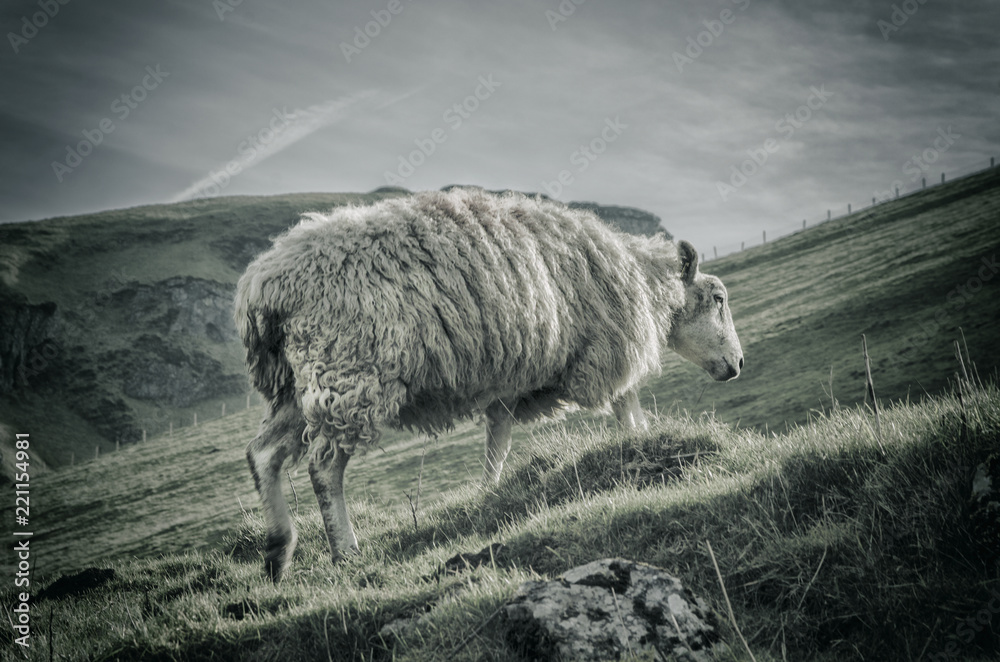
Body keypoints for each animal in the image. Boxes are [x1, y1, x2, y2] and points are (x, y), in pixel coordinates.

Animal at [234, 188, 743, 582]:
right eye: (718, 299)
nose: (738, 364)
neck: (645, 281)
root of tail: (262, 286)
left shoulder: (512, 380)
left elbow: (498, 440)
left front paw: (488, 495)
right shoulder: (602, 345)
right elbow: (626, 401)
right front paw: (641, 441)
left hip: (298, 384)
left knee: (263, 454)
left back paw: (278, 552)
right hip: (348, 370)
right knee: (324, 467)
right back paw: (345, 551)